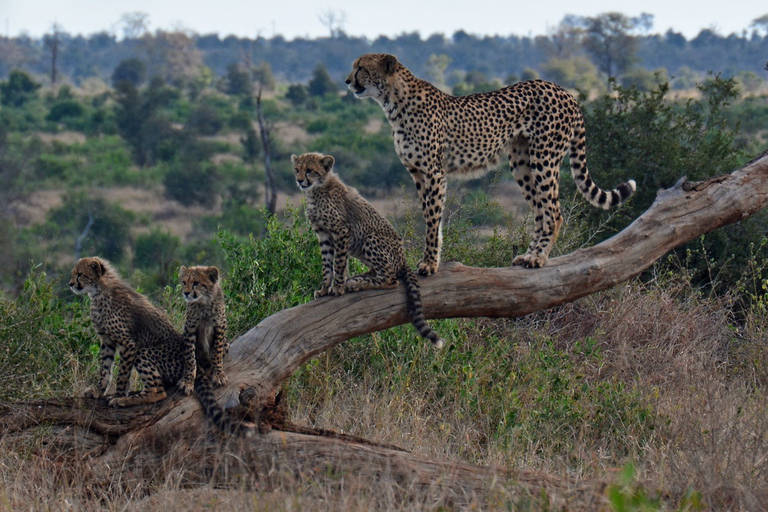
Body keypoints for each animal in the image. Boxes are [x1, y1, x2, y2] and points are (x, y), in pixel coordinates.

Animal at [69, 257, 195, 407]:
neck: (99, 292)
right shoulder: (107, 340)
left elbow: (122, 373)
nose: (70, 284)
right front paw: (99, 390)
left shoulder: (128, 343)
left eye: (80, 274)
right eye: (74, 273)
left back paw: (125, 400)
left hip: (143, 352)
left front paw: (118, 395)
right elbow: (105, 368)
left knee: (157, 391)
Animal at [179, 265, 248, 434]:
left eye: (196, 283)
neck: (204, 302)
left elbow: (216, 354)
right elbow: (190, 358)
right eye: (184, 282)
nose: (186, 293)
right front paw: (188, 381)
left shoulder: (219, 327)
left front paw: (219, 375)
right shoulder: (189, 329)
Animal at [292, 152, 444, 348]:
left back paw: (357, 283)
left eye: (309, 170)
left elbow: (339, 263)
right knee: (378, 271)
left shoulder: (341, 231)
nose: (299, 180)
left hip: (370, 238)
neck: (317, 189)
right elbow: (327, 266)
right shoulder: (324, 235)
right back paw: (358, 278)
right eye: (297, 169)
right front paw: (325, 288)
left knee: (390, 278)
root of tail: (403, 259)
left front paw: (338, 287)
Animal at [346, 53, 636, 275]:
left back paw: (538, 258)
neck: (393, 101)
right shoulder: (418, 173)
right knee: (540, 212)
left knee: (554, 212)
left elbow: (432, 219)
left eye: (361, 67)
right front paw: (431, 258)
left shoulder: (434, 173)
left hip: (544, 159)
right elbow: (431, 218)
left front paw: (429, 264)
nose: (348, 82)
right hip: (522, 164)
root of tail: (565, 91)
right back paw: (527, 255)